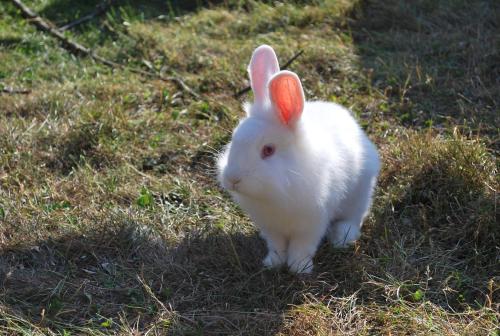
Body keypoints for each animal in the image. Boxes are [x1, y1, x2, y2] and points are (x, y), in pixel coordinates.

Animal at [215, 44, 378, 272]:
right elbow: (277, 246)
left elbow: (302, 247)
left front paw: (299, 268)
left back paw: (342, 237)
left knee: (354, 219)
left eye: (268, 150)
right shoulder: (272, 228)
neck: (277, 193)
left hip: (359, 195)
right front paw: (272, 263)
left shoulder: (312, 223)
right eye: (234, 138)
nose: (232, 179)